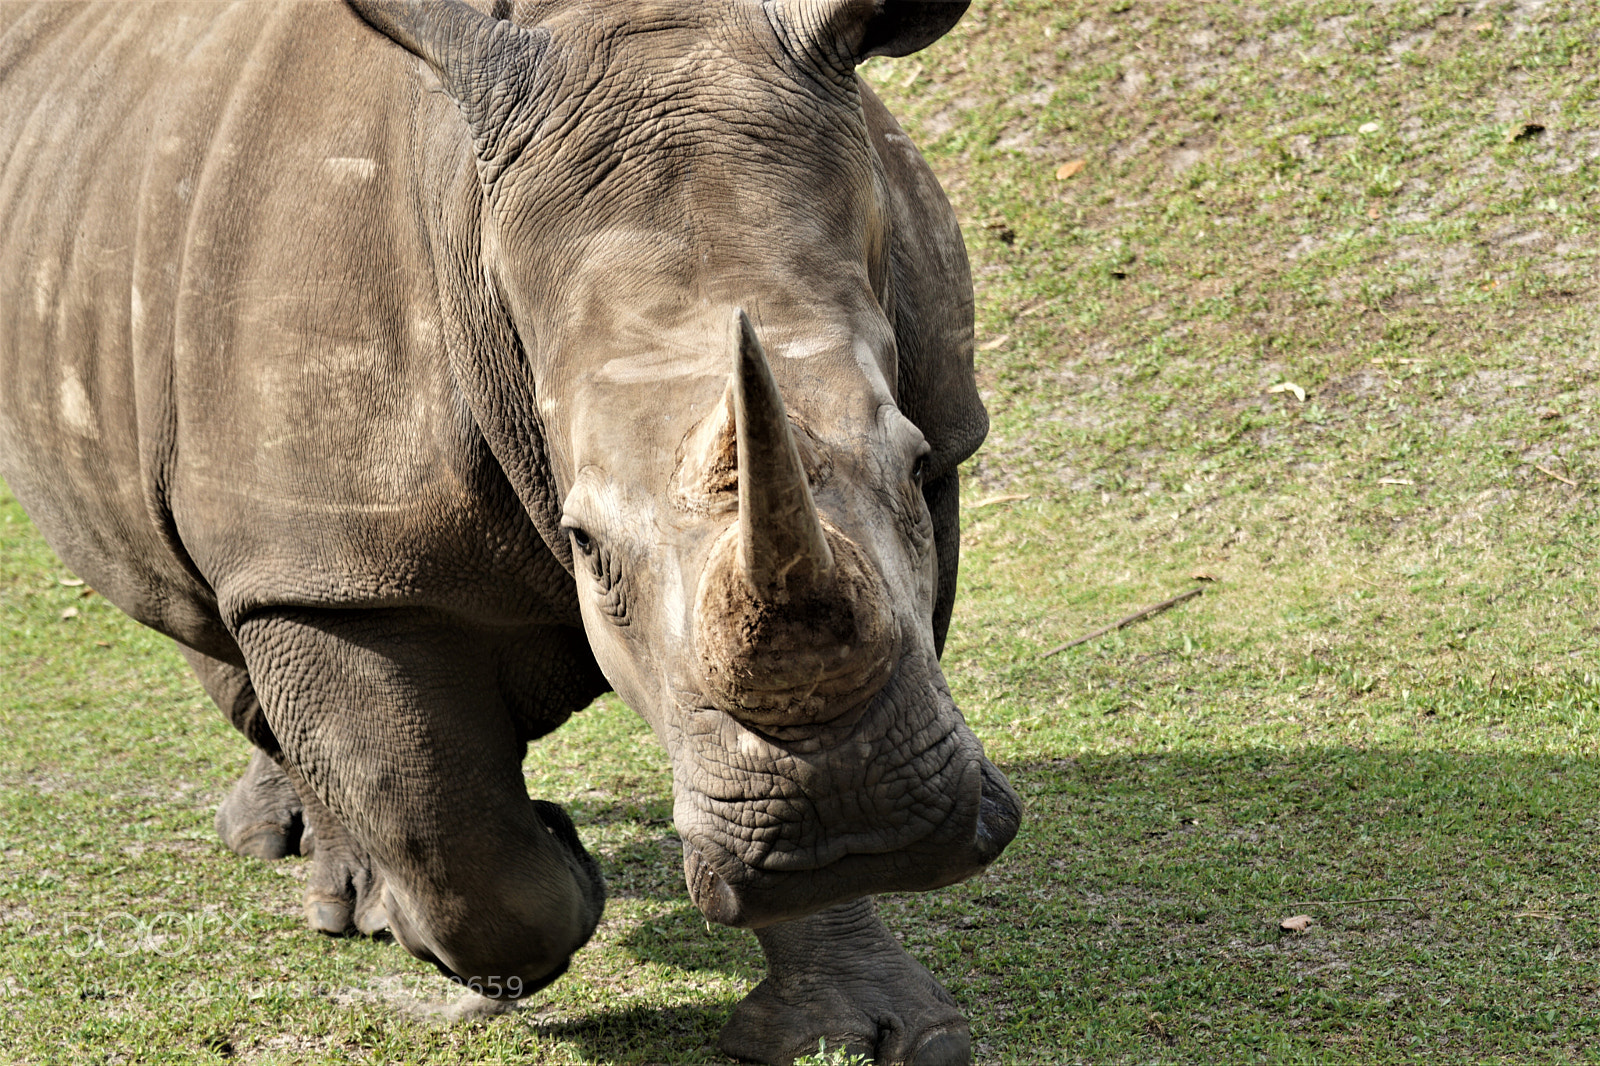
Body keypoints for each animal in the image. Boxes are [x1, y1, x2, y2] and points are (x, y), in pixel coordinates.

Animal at [0, 0, 1020, 1061]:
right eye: (588, 548)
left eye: (912, 468)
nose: (861, 828)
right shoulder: (335, 561)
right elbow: (435, 817)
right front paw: (531, 886)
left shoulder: (943, 431)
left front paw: (860, 1015)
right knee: (217, 612)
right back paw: (337, 889)